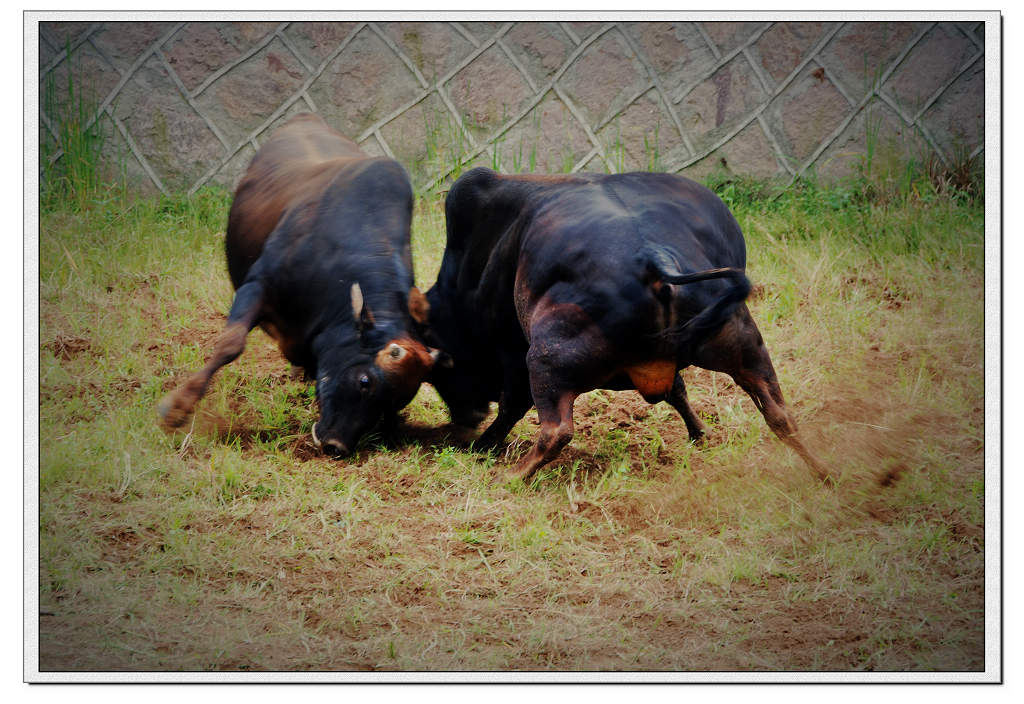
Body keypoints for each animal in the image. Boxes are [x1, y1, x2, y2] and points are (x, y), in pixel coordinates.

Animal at [157, 114, 438, 456]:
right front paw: (177, 408)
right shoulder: (257, 285)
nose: (336, 445)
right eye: (365, 381)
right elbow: (230, 344)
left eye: (394, 403)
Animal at [419, 167, 827, 480]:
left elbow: (512, 406)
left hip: (546, 358)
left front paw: (484, 444)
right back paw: (824, 473)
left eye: (444, 369)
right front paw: (700, 435)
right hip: (745, 344)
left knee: (556, 431)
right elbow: (678, 391)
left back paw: (512, 475)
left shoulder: (513, 351)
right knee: (779, 414)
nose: (465, 419)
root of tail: (656, 258)